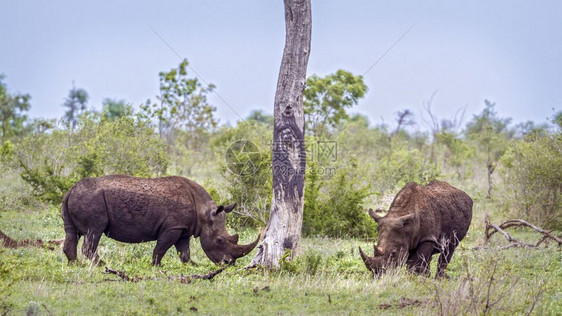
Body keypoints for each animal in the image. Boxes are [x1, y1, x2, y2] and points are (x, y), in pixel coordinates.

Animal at [60, 175, 258, 266]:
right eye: (219, 240)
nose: (228, 263)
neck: (204, 212)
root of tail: (70, 190)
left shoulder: (183, 228)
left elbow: (184, 251)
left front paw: (192, 265)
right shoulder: (172, 227)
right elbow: (161, 248)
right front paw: (156, 266)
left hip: (78, 197)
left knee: (72, 233)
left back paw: (74, 265)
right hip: (91, 200)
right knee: (94, 231)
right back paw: (101, 265)